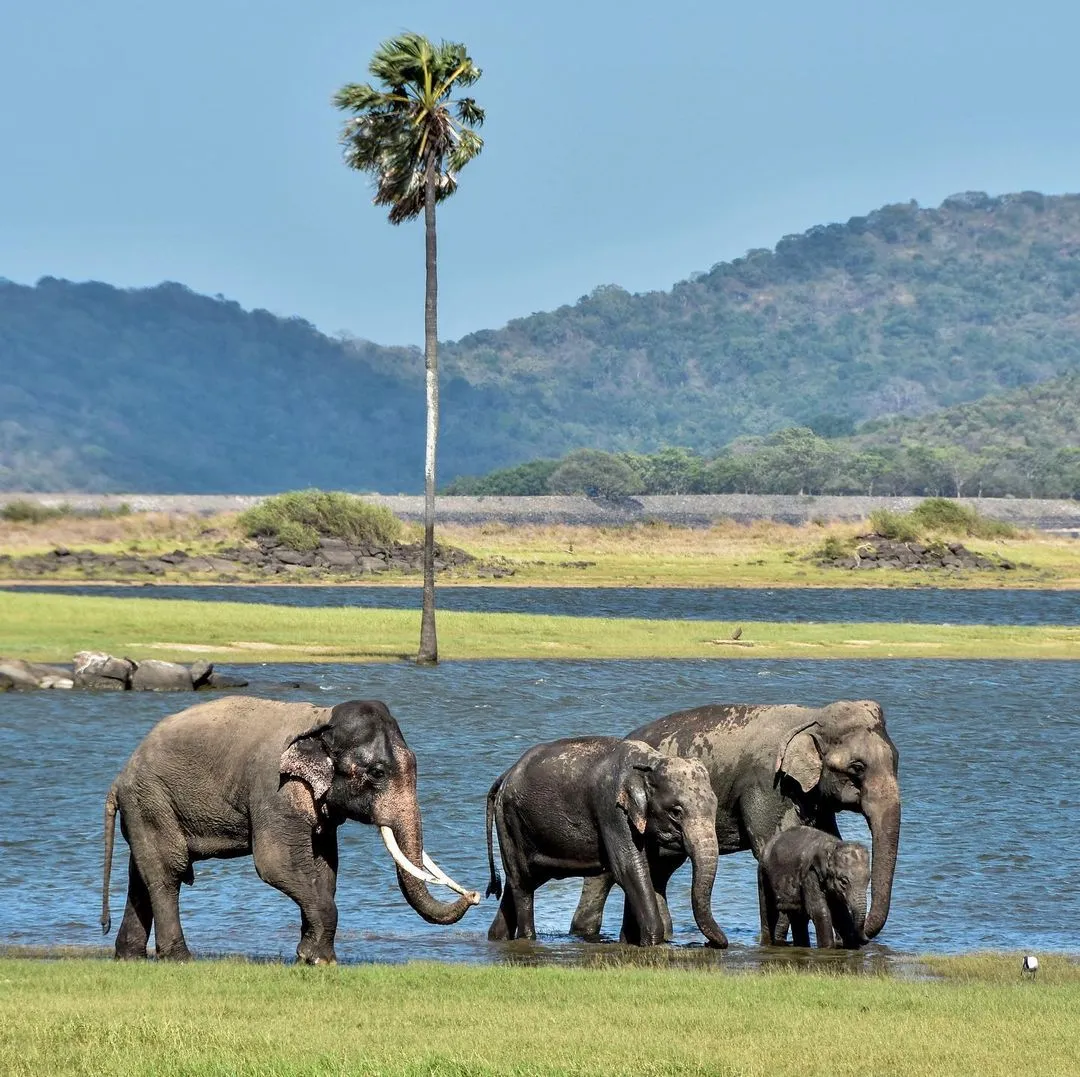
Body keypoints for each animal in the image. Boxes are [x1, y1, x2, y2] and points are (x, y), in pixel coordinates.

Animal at [101, 691, 481, 963]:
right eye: (376, 773)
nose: (475, 894)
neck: (321, 718)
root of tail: (119, 778)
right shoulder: (274, 790)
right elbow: (276, 864)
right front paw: (319, 960)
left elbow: (325, 868)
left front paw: (315, 958)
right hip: (152, 799)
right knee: (169, 871)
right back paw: (179, 959)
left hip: (146, 807)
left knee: (142, 874)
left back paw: (129, 957)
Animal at [488, 734, 725, 946]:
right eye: (676, 812)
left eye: (715, 806)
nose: (712, 944)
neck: (651, 760)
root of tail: (506, 774)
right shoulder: (612, 809)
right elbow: (629, 868)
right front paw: (651, 943)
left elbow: (647, 869)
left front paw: (630, 941)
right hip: (510, 820)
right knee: (523, 883)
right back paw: (527, 939)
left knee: (516, 882)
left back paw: (497, 938)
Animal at [570, 695, 898, 941]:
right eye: (857, 767)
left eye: (897, 760)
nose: (865, 934)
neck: (812, 716)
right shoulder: (766, 784)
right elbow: (769, 847)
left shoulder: (811, 795)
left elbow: (828, 838)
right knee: (610, 873)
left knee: (658, 871)